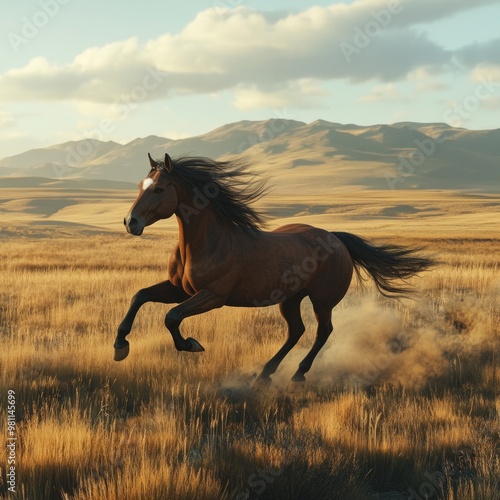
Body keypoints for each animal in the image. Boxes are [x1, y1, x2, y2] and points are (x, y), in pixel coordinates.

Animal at [114, 152, 434, 386]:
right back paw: (265, 374)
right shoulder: (179, 289)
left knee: (323, 331)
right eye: (139, 186)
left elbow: (172, 317)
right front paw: (120, 346)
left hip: (322, 300)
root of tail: (336, 239)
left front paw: (192, 345)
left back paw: (298, 373)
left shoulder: (213, 296)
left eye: (159, 189)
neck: (208, 242)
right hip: (290, 298)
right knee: (296, 331)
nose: (130, 222)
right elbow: (140, 296)